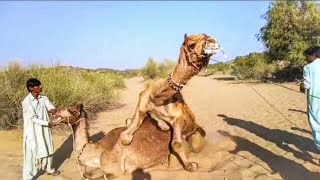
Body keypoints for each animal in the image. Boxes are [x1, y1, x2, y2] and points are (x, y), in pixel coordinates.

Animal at [52, 103, 208, 179]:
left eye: (72, 110)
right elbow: (87, 174)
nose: (52, 111)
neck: (96, 150)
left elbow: (101, 175)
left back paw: (192, 165)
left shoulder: (117, 170)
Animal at [119, 33, 221, 172]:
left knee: (195, 144)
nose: (212, 41)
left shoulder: (178, 118)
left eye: (207, 36)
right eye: (191, 44)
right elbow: (125, 136)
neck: (157, 98)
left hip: (195, 132)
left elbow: (176, 143)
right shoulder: (141, 106)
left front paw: (190, 165)